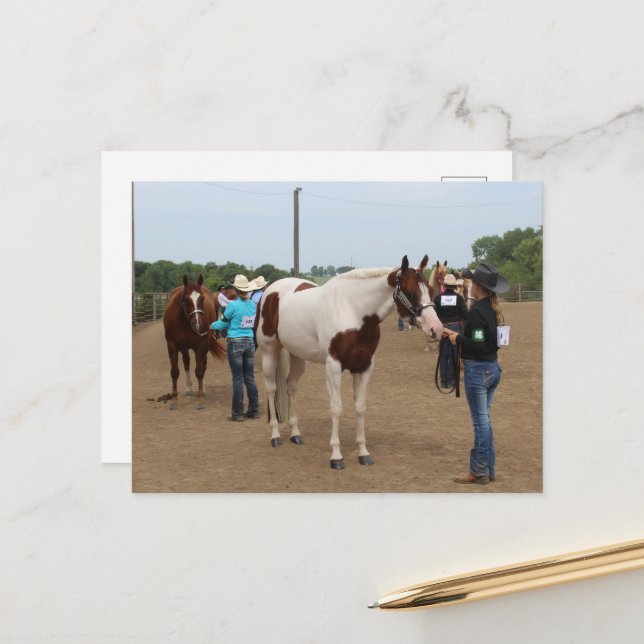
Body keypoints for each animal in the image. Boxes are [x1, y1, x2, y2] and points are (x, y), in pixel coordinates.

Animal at [162, 274, 226, 409]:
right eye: (186, 299)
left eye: (202, 298)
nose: (198, 325)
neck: (184, 321)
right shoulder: (172, 345)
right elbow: (174, 372)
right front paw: (174, 400)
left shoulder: (201, 345)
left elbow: (199, 371)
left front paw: (200, 399)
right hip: (184, 347)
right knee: (186, 362)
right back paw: (189, 388)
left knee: (203, 364)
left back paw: (201, 389)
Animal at [255, 255, 444, 470]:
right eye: (411, 293)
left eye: (430, 291)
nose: (436, 329)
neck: (353, 310)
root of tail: (270, 292)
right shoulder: (333, 367)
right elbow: (336, 408)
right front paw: (336, 456)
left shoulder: (364, 367)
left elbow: (360, 408)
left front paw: (363, 453)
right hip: (269, 350)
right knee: (271, 388)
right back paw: (275, 436)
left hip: (298, 356)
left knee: (291, 387)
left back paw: (295, 434)